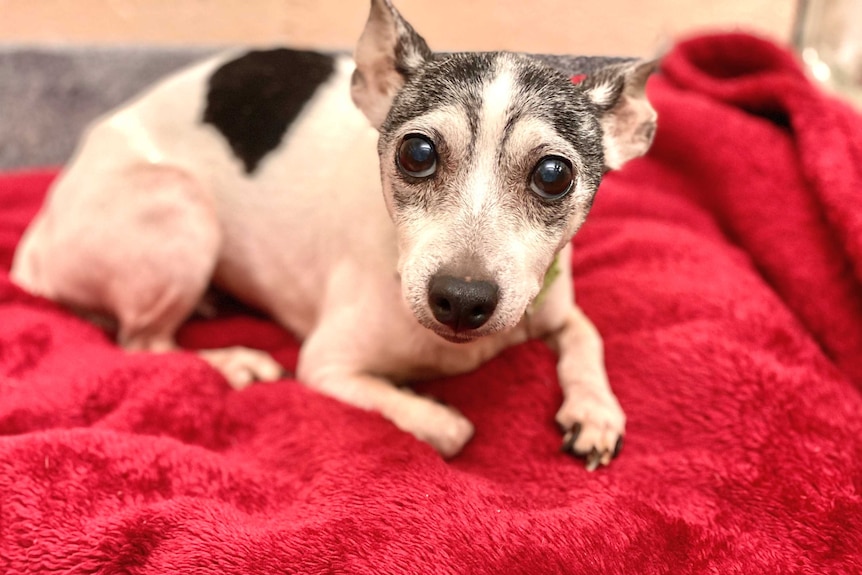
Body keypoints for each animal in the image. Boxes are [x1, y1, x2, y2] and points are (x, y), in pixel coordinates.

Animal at [10, 0, 660, 470]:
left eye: (553, 175)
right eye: (417, 153)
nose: (460, 299)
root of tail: (34, 248)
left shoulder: (553, 305)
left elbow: (586, 338)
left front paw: (595, 412)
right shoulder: (326, 367)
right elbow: (449, 429)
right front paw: (432, 407)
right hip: (182, 208)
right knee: (143, 344)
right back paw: (234, 363)